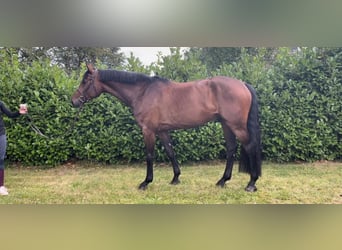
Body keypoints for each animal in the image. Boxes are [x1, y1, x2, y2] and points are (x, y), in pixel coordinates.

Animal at [71, 64, 260, 191]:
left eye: (86, 80)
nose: (73, 101)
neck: (143, 92)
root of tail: (243, 84)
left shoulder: (148, 130)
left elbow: (149, 155)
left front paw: (145, 182)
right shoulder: (162, 130)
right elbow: (170, 152)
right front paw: (176, 178)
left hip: (236, 126)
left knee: (250, 147)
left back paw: (251, 183)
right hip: (226, 125)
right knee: (231, 149)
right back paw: (222, 181)